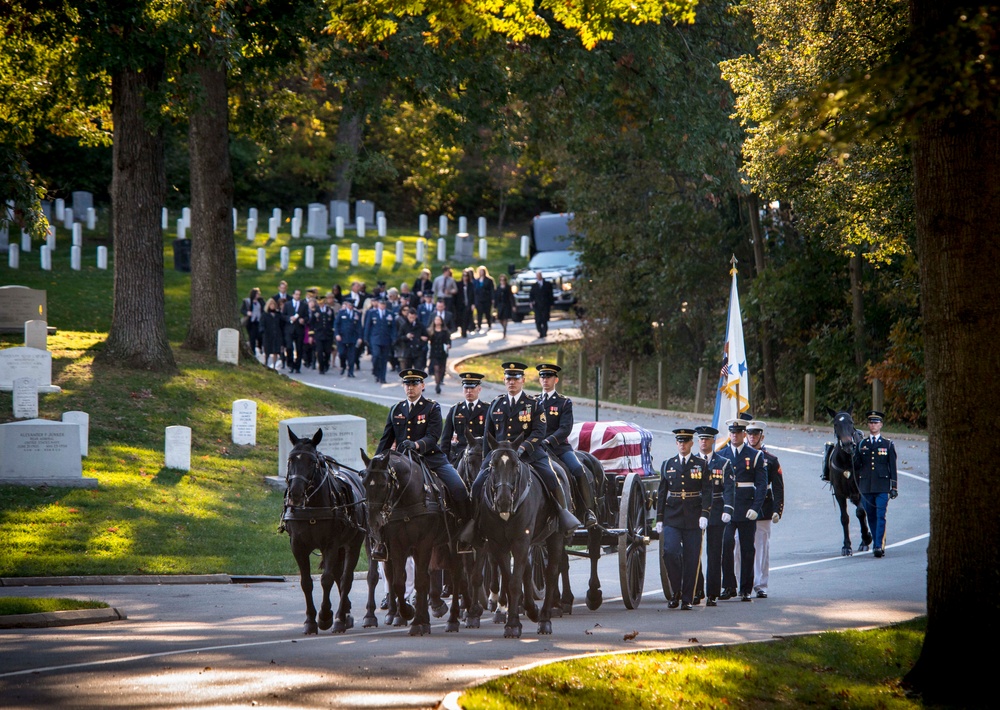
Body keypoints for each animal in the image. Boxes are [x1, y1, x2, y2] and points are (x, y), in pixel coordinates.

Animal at [282, 432, 376, 636]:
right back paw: (345, 613)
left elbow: (326, 580)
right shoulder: (297, 545)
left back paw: (349, 618)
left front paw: (325, 616)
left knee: (349, 578)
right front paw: (310, 621)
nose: (295, 493)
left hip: (356, 543)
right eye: (290, 459)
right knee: (339, 575)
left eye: (312, 462)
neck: (313, 506)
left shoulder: (331, 544)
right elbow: (306, 582)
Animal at [362, 448, 466, 636]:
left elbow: (420, 581)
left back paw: (453, 619)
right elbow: (398, 582)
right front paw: (408, 613)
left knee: (455, 576)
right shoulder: (397, 545)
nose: (373, 523)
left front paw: (417, 622)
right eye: (364, 482)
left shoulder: (423, 544)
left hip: (452, 544)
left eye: (383, 484)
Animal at [466, 434, 564, 640]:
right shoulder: (496, 542)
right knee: (527, 569)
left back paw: (545, 618)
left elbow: (514, 582)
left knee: (551, 573)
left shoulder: (520, 540)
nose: (503, 501)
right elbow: (505, 577)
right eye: (492, 465)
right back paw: (531, 609)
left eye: (516, 465)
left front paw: (511, 623)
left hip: (555, 536)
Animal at [824, 412, 872, 556]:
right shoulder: (840, 494)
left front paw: (866, 538)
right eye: (835, 424)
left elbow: (861, 512)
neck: (847, 461)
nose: (847, 444)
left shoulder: (860, 492)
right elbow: (844, 518)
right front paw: (846, 546)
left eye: (851, 422)